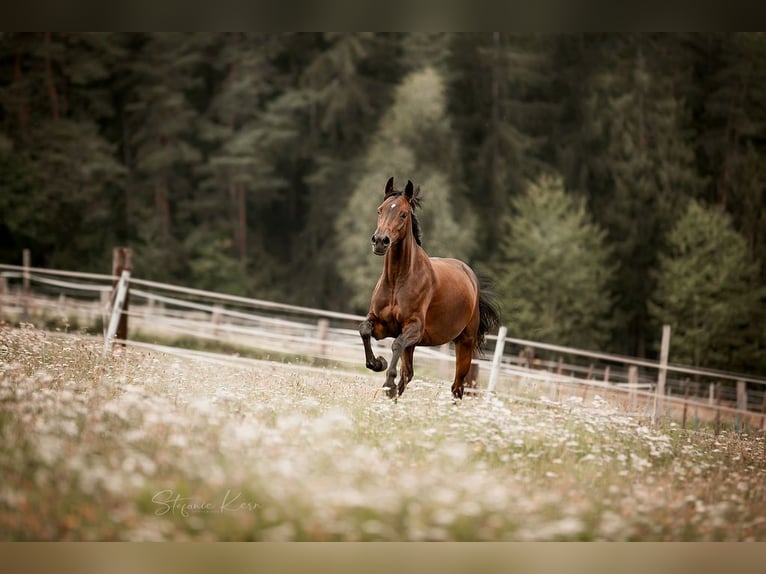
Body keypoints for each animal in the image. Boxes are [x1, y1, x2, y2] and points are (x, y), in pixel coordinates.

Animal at [359, 177, 500, 399]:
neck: (398, 280)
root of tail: (471, 277)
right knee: (408, 374)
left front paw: (387, 383)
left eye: (403, 214)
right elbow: (364, 329)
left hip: (465, 343)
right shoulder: (382, 325)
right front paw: (377, 363)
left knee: (457, 387)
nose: (380, 241)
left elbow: (396, 344)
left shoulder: (414, 328)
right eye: (379, 210)